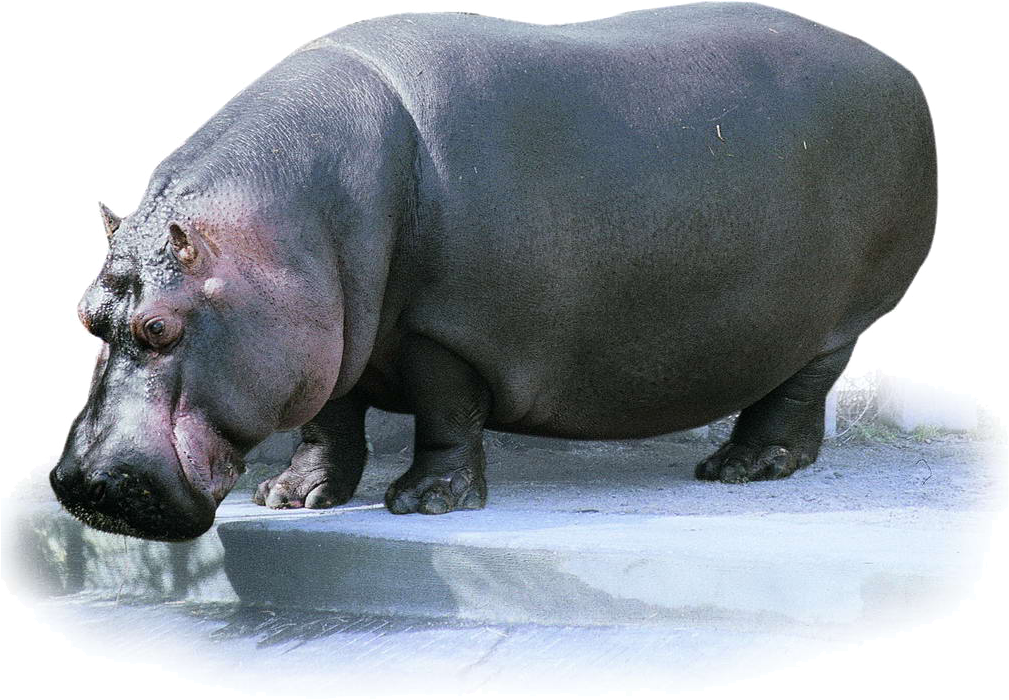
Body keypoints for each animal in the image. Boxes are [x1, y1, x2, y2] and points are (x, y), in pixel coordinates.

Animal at [51, 4, 936, 540]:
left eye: (160, 326)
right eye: (86, 316)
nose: (89, 483)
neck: (281, 230)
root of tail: (893, 70)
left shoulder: (443, 332)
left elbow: (446, 414)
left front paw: (422, 505)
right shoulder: (330, 332)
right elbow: (329, 420)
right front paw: (292, 497)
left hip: (837, 317)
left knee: (798, 391)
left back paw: (737, 470)